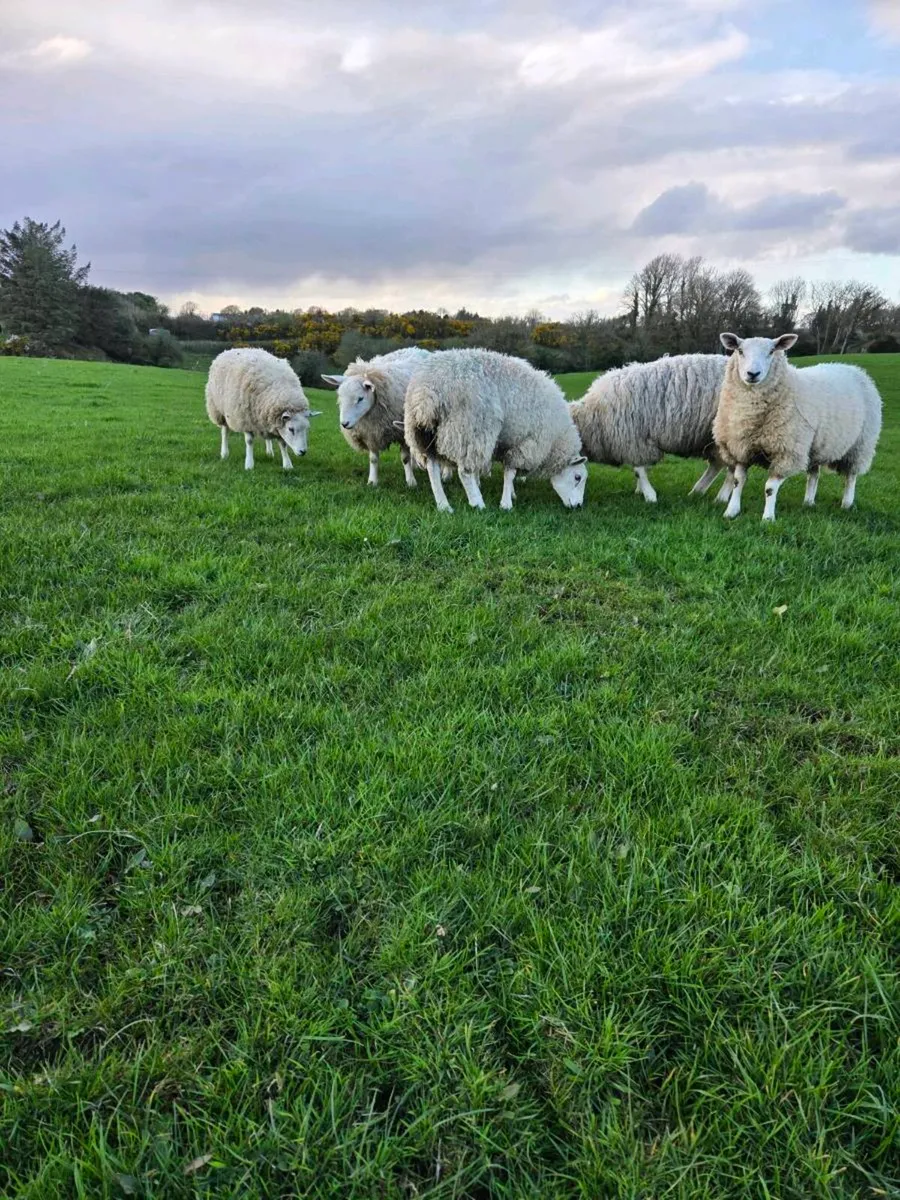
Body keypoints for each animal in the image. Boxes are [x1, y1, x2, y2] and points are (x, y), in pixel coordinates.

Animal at [321, 347, 431, 487]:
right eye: (340, 396)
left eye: (360, 398)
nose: (344, 424)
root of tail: (417, 349)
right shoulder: (371, 433)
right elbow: (373, 459)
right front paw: (372, 481)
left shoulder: (401, 432)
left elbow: (405, 458)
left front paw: (411, 481)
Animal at [402, 348, 587, 513]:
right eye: (577, 477)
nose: (578, 506)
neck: (557, 438)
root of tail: (426, 392)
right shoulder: (525, 443)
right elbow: (510, 473)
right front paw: (506, 504)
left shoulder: (508, 441)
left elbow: (507, 472)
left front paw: (511, 494)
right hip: (469, 428)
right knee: (464, 472)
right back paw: (477, 502)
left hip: (424, 433)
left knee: (432, 468)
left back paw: (443, 505)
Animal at [569, 354, 737, 503]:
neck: (593, 414)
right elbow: (642, 468)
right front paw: (640, 490)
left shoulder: (633, 441)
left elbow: (639, 470)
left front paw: (649, 495)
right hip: (711, 439)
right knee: (716, 464)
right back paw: (697, 491)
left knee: (731, 469)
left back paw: (721, 498)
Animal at [714, 333, 883, 521]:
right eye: (740, 351)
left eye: (771, 351)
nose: (752, 374)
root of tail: (855, 369)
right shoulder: (741, 448)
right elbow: (738, 481)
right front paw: (731, 511)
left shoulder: (787, 452)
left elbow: (770, 488)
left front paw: (768, 518)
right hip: (815, 445)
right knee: (814, 474)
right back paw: (808, 502)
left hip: (860, 445)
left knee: (851, 477)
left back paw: (847, 504)